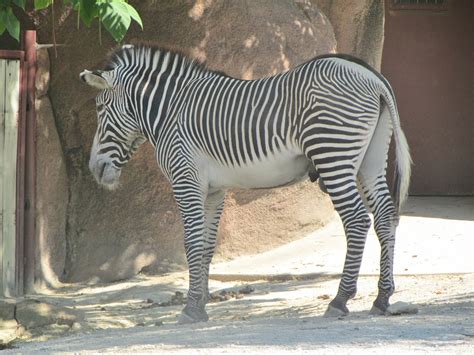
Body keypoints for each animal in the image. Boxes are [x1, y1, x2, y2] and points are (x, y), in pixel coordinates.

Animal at [80, 44, 412, 326]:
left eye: (100, 109)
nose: (95, 169)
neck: (171, 111)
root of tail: (370, 75)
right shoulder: (213, 190)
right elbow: (206, 246)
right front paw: (201, 305)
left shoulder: (187, 180)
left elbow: (191, 243)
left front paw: (190, 308)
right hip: (370, 158)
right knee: (385, 216)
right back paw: (382, 297)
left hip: (332, 153)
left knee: (357, 220)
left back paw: (340, 300)